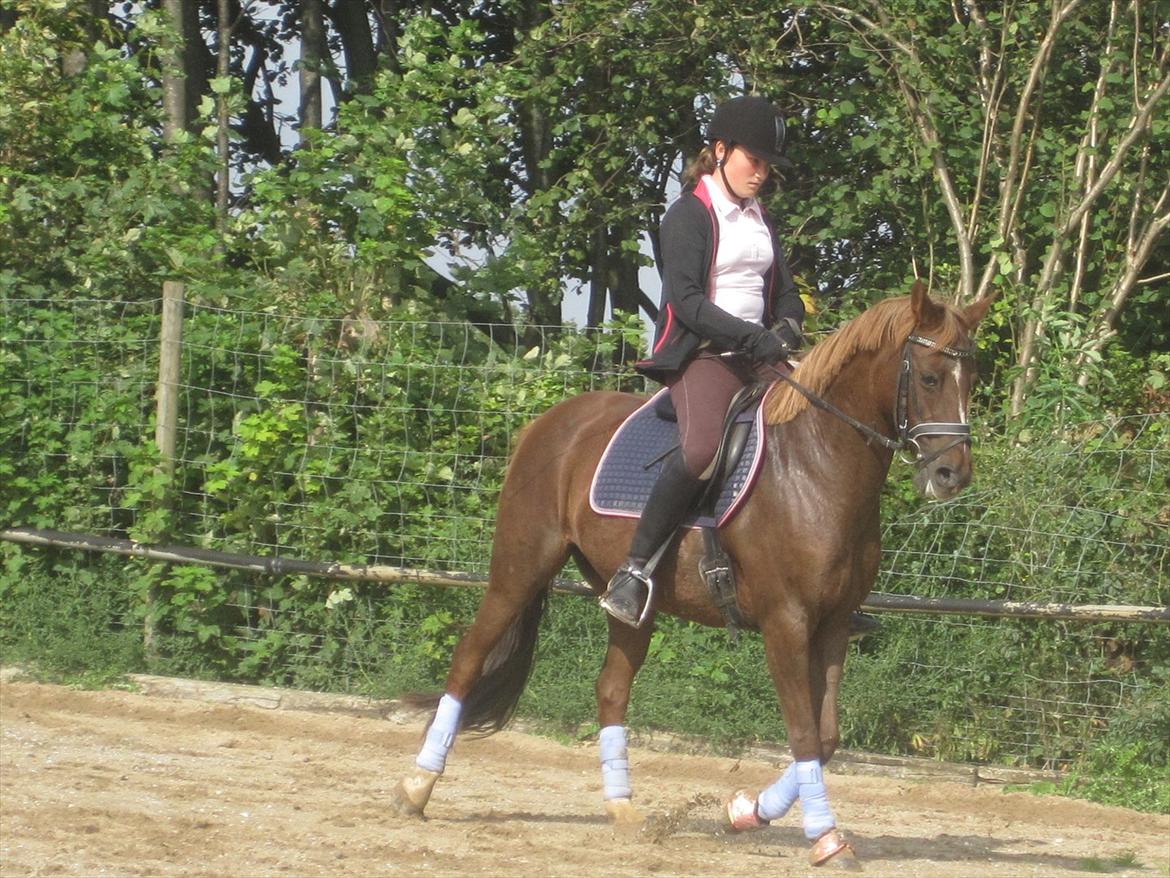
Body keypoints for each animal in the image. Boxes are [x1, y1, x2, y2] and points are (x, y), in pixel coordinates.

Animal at [391, 280, 994, 866]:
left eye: (972, 378)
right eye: (931, 376)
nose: (952, 474)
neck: (814, 465)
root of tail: (549, 422)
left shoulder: (835, 624)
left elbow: (825, 738)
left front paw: (746, 812)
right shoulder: (786, 622)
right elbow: (802, 733)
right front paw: (827, 839)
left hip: (630, 602)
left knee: (610, 687)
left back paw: (623, 811)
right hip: (519, 570)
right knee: (468, 659)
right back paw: (416, 788)